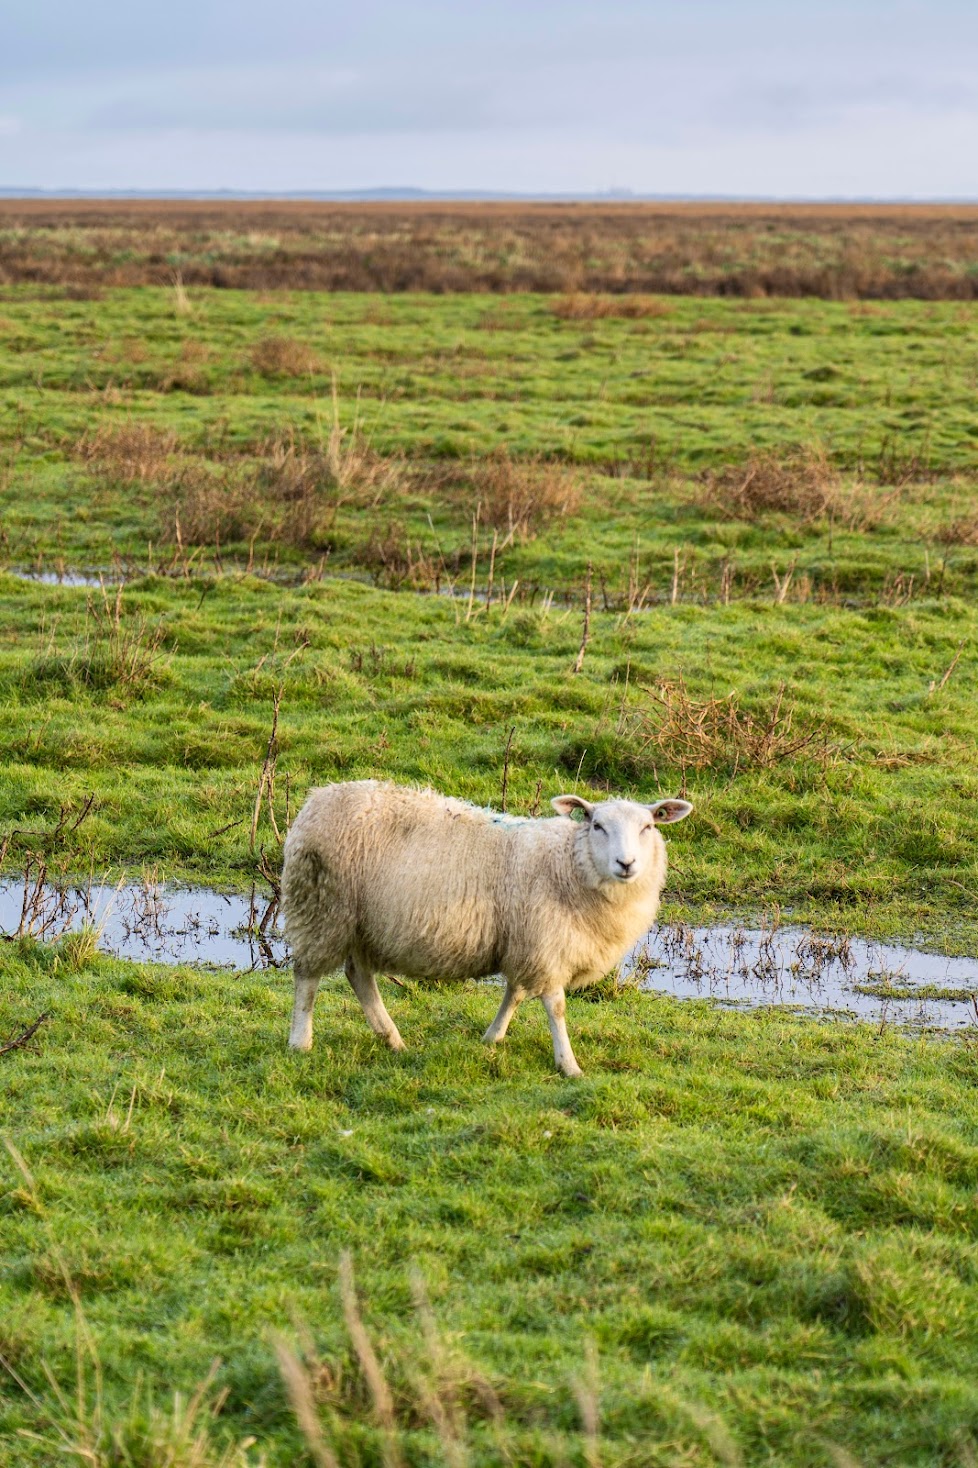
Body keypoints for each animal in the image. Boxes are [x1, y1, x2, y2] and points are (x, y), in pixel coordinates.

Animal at [281, 780, 690, 1080]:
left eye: (648, 826)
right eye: (597, 825)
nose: (627, 863)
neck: (568, 864)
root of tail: (317, 798)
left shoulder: (525, 941)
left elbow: (515, 993)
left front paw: (492, 1037)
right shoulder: (544, 943)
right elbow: (555, 1007)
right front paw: (568, 1065)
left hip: (361, 924)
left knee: (359, 976)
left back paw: (392, 1039)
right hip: (323, 907)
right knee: (307, 977)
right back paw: (301, 1041)